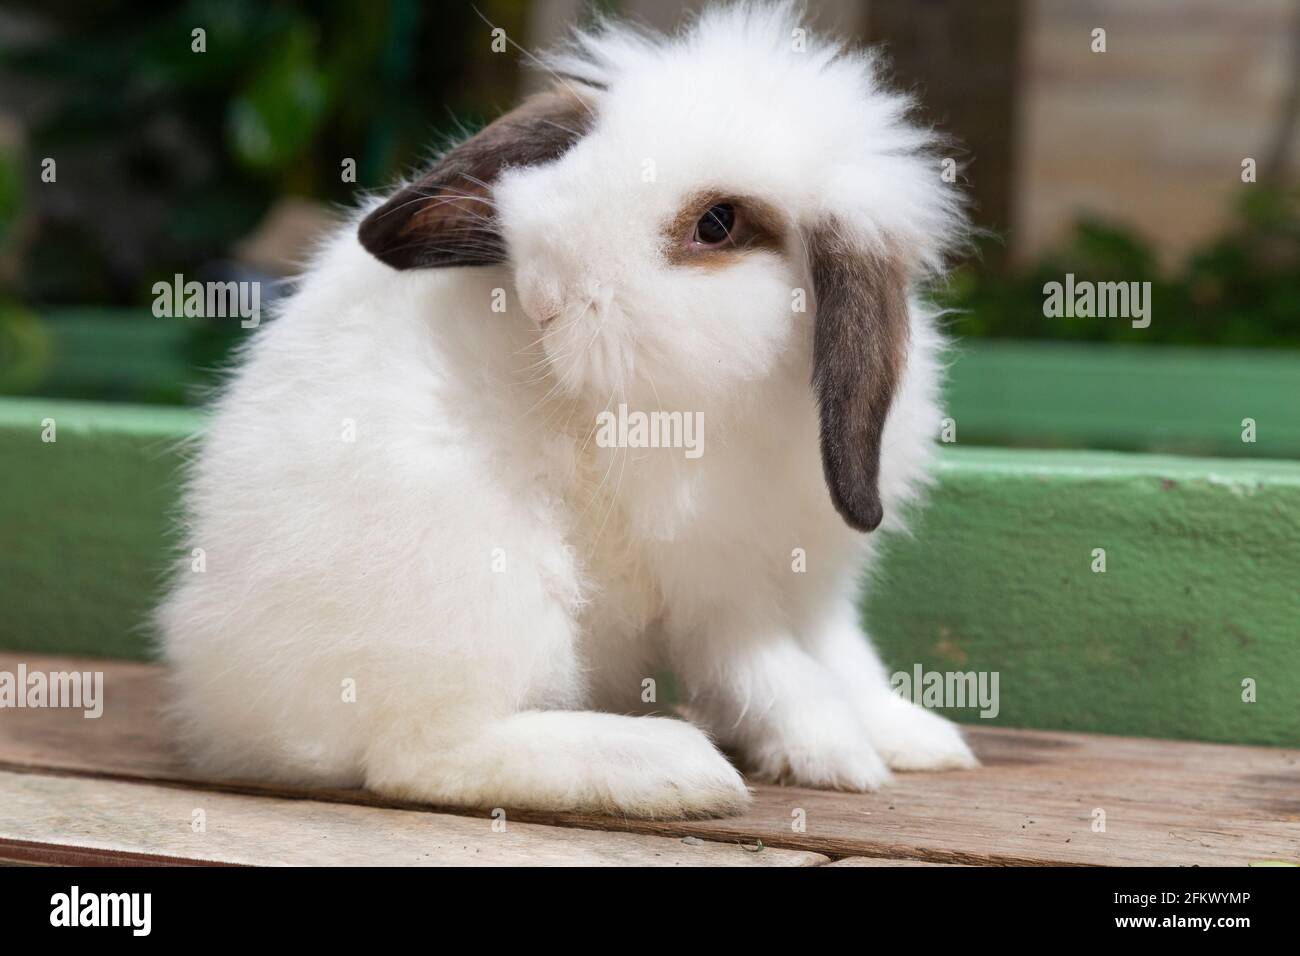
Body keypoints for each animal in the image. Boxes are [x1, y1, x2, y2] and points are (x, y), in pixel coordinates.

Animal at [157, 1, 976, 820]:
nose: (547, 293)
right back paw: (670, 767)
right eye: (586, 148)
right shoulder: (712, 590)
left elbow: (844, 658)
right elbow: (773, 671)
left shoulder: (812, 578)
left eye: (717, 223)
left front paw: (916, 739)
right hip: (490, 587)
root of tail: (224, 697)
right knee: (416, 756)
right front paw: (836, 755)